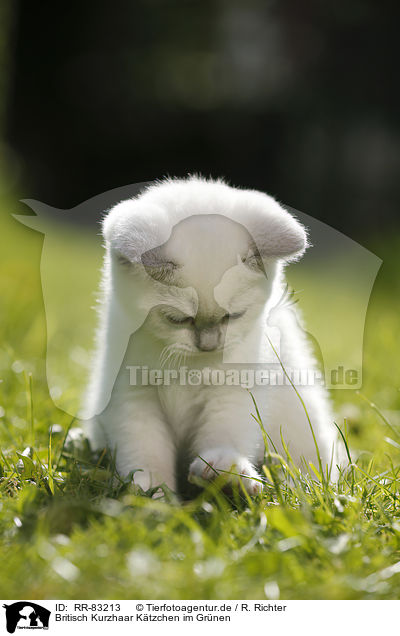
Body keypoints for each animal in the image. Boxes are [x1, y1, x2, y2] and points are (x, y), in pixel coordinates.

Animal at [84, 176, 340, 494]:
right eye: (178, 319)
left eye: (234, 316)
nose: (209, 345)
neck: (186, 368)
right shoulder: (132, 394)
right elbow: (145, 448)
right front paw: (150, 491)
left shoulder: (233, 391)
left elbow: (225, 433)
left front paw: (227, 477)